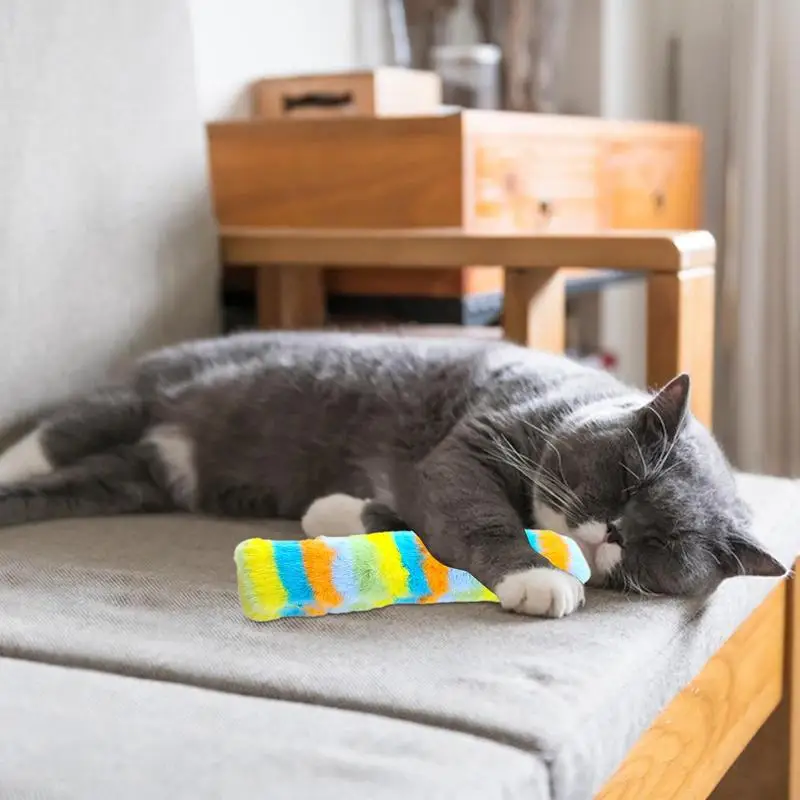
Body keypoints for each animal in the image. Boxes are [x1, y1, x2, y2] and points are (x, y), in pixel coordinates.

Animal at [0, 332, 780, 620]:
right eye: (627, 482)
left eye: (658, 548)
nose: (610, 531)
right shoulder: (476, 441)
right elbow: (474, 513)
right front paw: (538, 578)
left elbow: (409, 514)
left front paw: (332, 512)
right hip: (143, 398)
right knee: (55, 435)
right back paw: (15, 452)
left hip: (130, 480)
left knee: (63, 482)